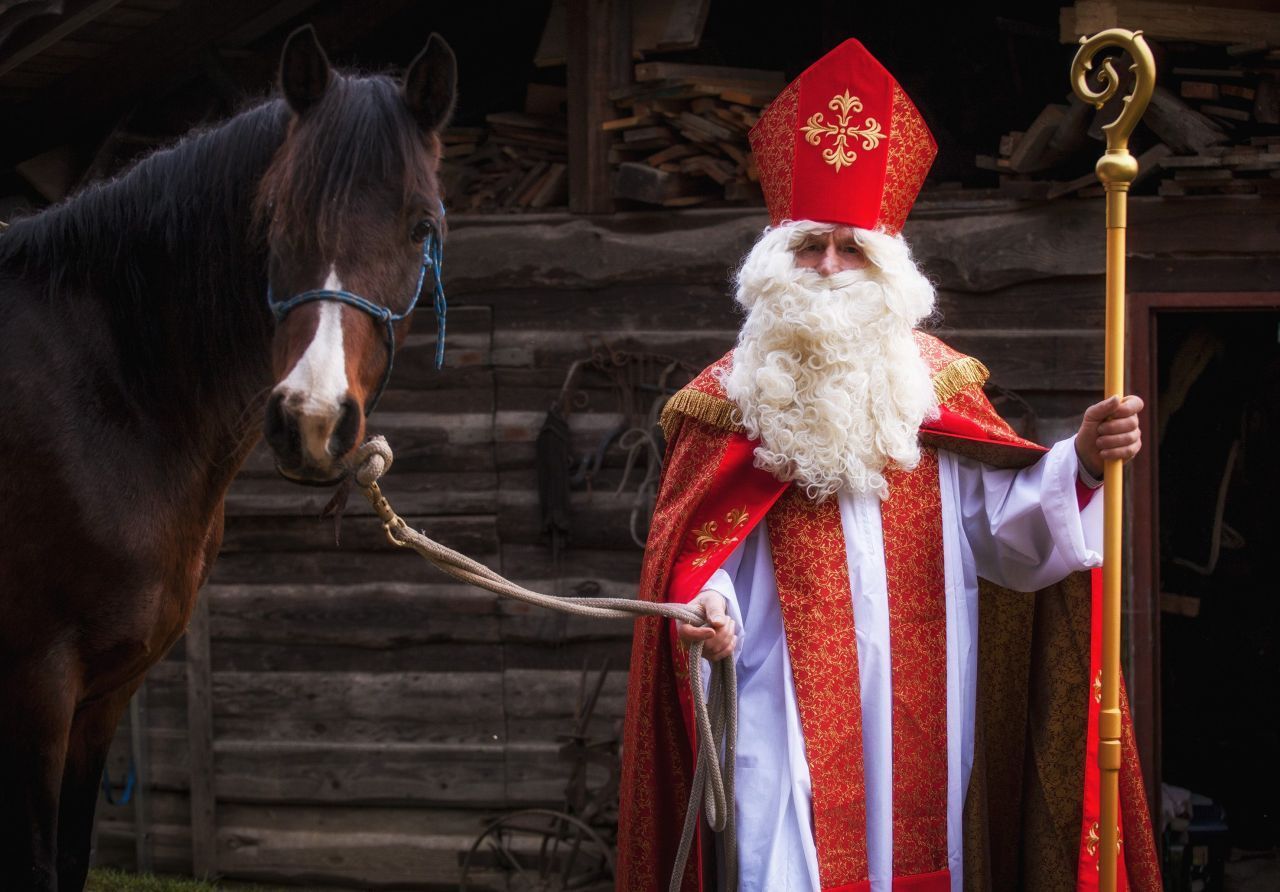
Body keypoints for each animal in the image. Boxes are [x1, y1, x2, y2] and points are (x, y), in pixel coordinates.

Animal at [0, 24, 458, 885]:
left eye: (422, 227)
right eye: (273, 215)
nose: (312, 419)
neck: (102, 389)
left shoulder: (101, 697)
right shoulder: (34, 688)